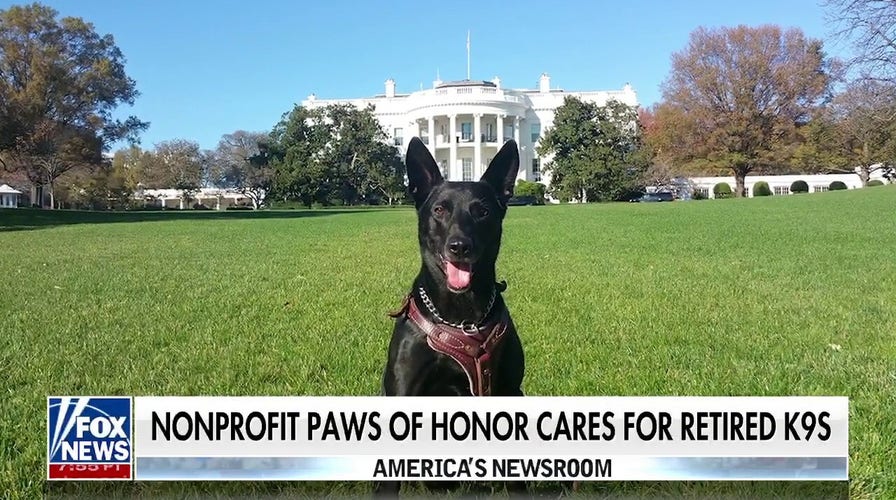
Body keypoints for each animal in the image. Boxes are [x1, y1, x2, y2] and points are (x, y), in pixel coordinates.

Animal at [374, 136, 528, 496]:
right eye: (439, 210)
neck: (463, 319)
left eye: (482, 211)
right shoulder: (403, 392)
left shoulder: (508, 391)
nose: (460, 246)